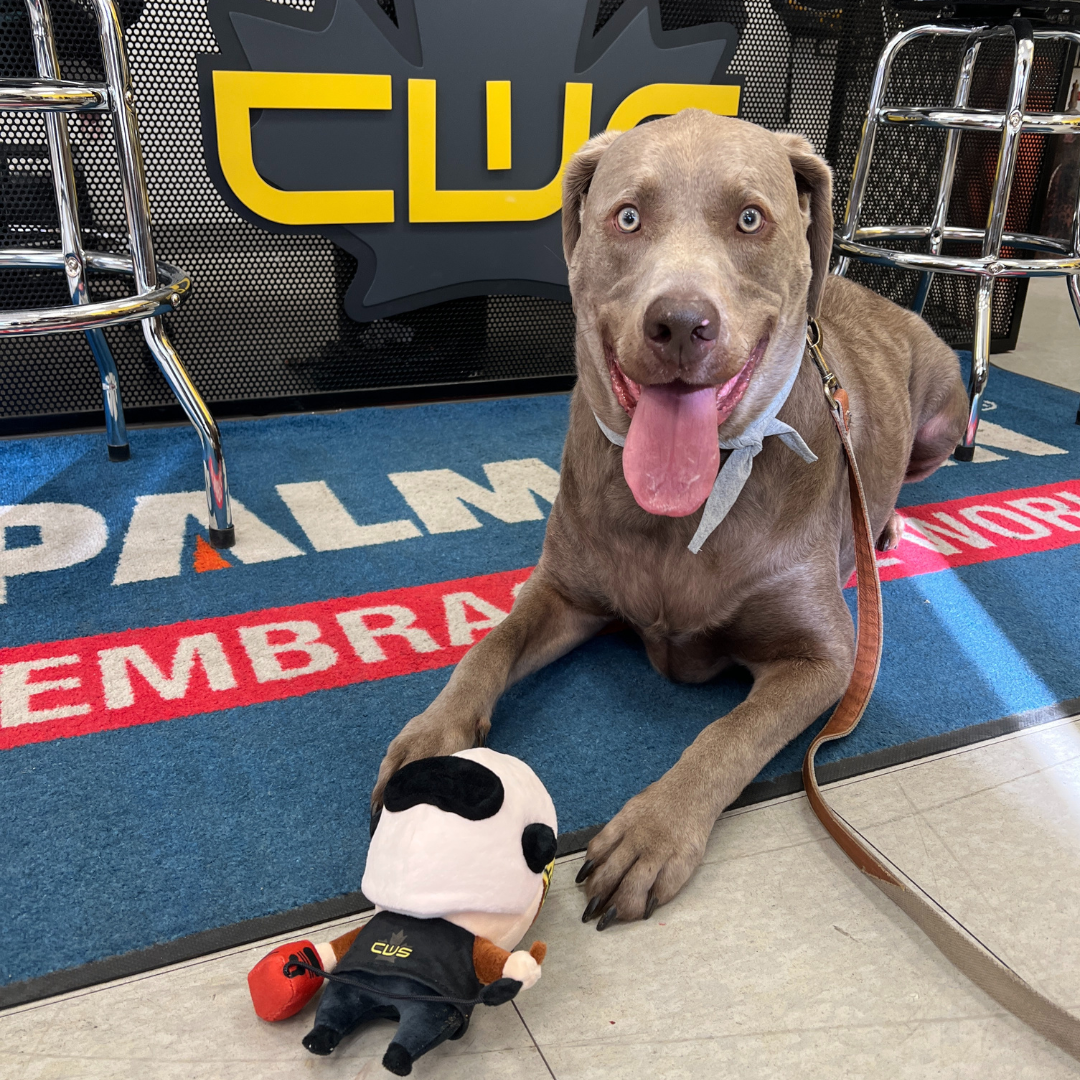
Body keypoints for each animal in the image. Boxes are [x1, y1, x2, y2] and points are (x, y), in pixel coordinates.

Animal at [373, 113, 972, 933]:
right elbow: (489, 647)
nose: (681, 323)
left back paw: (882, 531)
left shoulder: (827, 658)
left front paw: (654, 832)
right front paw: (433, 735)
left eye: (751, 219)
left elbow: (729, 734)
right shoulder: (563, 592)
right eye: (627, 217)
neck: (691, 496)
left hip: (943, 415)